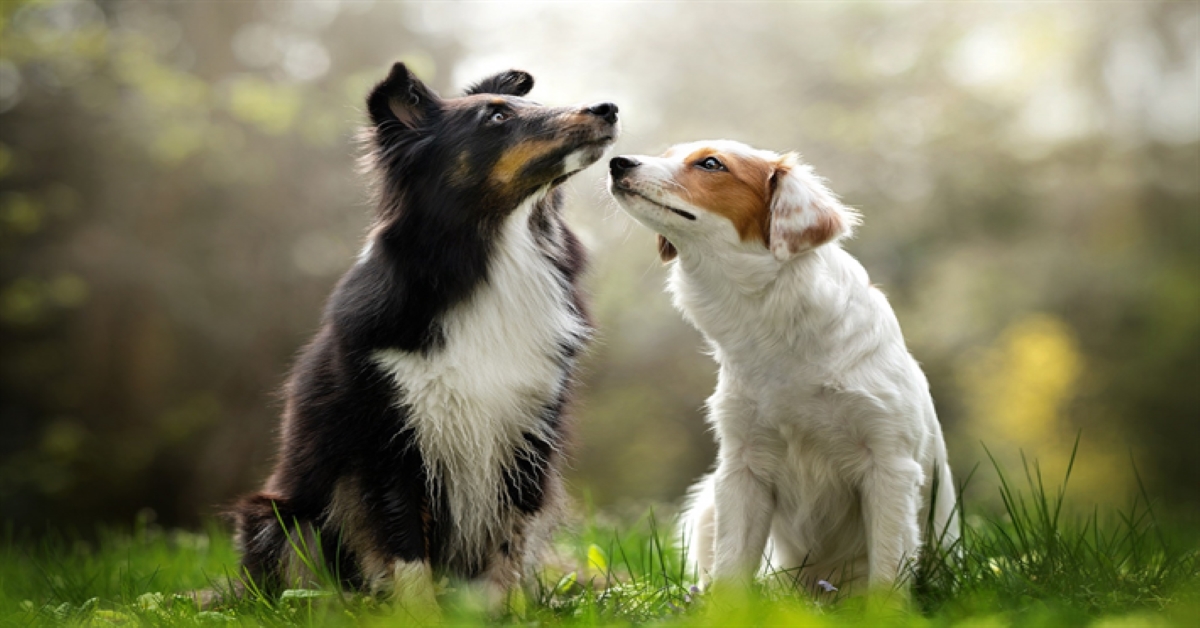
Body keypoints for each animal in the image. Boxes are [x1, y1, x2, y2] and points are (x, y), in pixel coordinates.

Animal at [231, 61, 619, 612]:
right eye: (497, 117)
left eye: (531, 105)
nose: (609, 109)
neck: (493, 253)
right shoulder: (388, 440)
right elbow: (406, 547)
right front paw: (421, 615)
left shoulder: (528, 433)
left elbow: (509, 543)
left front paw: (505, 612)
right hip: (280, 518)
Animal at [609, 141, 955, 595]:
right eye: (667, 153)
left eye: (711, 163)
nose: (616, 163)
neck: (775, 321)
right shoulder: (743, 467)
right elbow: (732, 567)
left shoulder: (889, 463)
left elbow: (886, 571)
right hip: (707, 505)